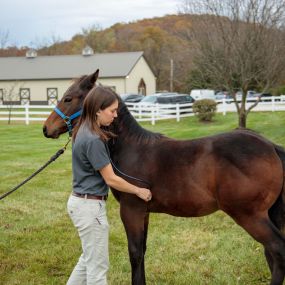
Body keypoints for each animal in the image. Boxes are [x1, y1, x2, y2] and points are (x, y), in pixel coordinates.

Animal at [42, 69, 284, 284]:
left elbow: (135, 253)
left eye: (68, 98)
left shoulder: (131, 210)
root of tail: (271, 147)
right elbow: (142, 250)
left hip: (249, 215)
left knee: (277, 249)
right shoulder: (144, 212)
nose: (46, 128)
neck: (131, 148)